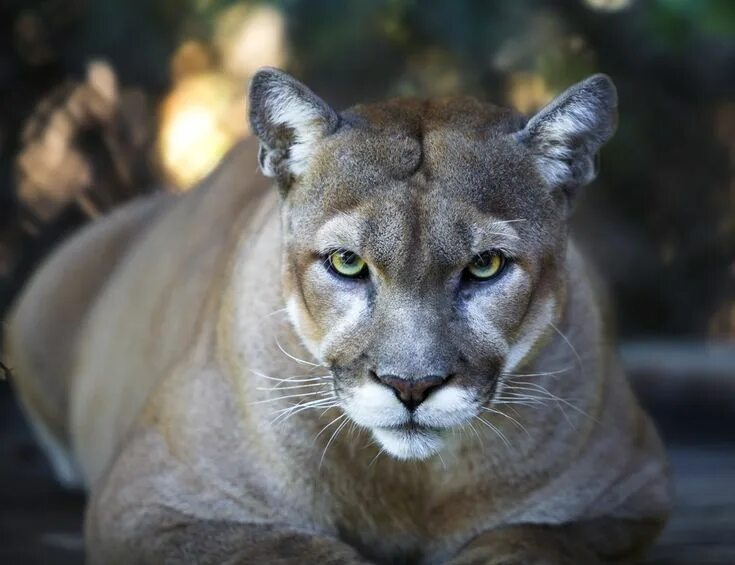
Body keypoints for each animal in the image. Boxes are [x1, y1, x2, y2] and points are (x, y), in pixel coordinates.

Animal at [7, 68, 672, 560]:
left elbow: (531, 542)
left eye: (485, 265)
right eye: (347, 262)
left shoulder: (629, 495)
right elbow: (288, 550)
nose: (411, 386)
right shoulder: (149, 496)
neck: (411, 485)